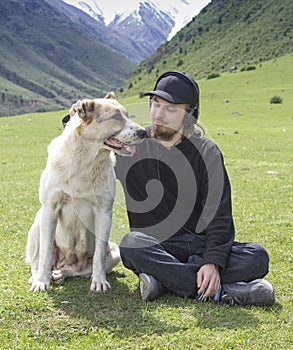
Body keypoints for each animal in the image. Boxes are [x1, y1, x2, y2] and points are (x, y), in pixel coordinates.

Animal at [26, 92, 145, 292]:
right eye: (116, 117)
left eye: (127, 115)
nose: (144, 132)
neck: (86, 163)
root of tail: (67, 261)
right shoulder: (50, 208)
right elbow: (44, 254)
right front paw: (42, 281)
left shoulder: (104, 211)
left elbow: (98, 255)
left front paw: (99, 281)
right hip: (37, 223)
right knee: (38, 260)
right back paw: (40, 277)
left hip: (115, 252)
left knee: (78, 270)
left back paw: (61, 273)